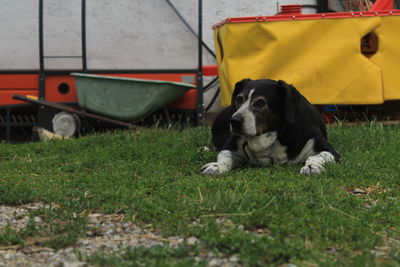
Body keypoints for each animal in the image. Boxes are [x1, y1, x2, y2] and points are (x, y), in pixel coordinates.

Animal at [202, 78, 340, 177]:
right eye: (239, 99)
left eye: (260, 102)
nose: (234, 121)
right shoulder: (233, 145)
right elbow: (224, 154)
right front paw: (217, 166)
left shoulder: (327, 149)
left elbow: (316, 156)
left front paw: (312, 166)